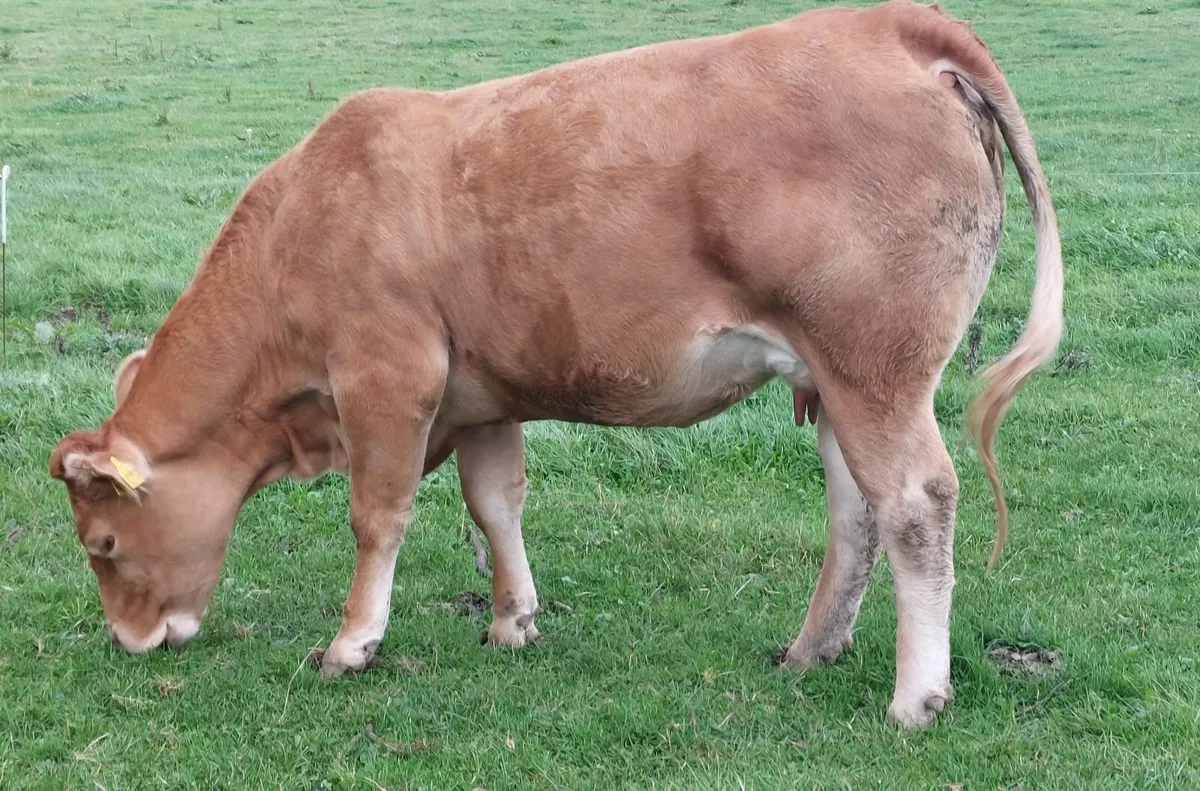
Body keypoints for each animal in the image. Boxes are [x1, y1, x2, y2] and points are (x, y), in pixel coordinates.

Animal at [49, 0, 1062, 727]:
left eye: (103, 545)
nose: (129, 641)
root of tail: (889, 24)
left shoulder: (388, 375)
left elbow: (378, 516)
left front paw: (351, 644)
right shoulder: (482, 391)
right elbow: (495, 503)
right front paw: (513, 620)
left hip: (875, 366)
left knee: (917, 503)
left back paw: (915, 697)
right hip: (838, 379)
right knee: (858, 511)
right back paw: (812, 649)